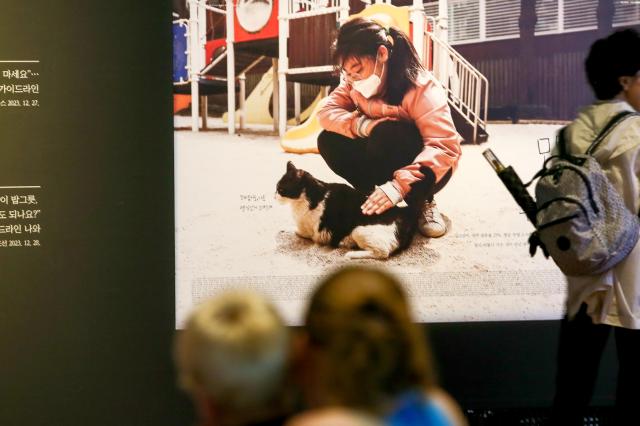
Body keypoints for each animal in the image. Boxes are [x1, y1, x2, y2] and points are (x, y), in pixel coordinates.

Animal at [276, 161, 436, 258]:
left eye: (280, 189)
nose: (274, 195)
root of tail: (403, 212)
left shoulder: (311, 232)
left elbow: (297, 230)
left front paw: (286, 229)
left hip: (358, 231)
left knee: (382, 253)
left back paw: (351, 253)